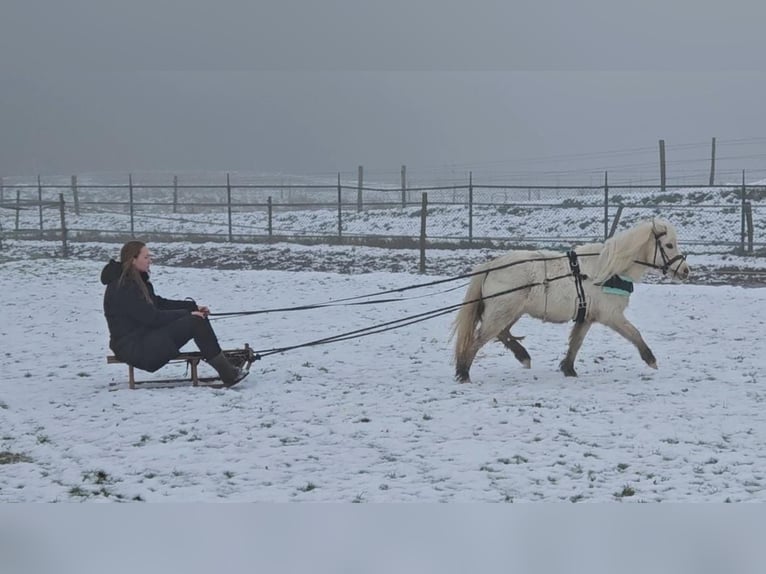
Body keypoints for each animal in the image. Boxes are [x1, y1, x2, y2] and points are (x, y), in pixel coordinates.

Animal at [452, 218, 692, 384]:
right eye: (669, 245)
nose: (685, 271)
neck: (606, 271)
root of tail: (491, 266)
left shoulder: (587, 317)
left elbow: (576, 343)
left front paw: (568, 368)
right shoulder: (612, 316)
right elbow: (634, 333)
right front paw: (651, 359)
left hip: (511, 312)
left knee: (501, 334)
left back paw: (522, 356)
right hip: (503, 312)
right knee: (478, 340)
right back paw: (464, 373)